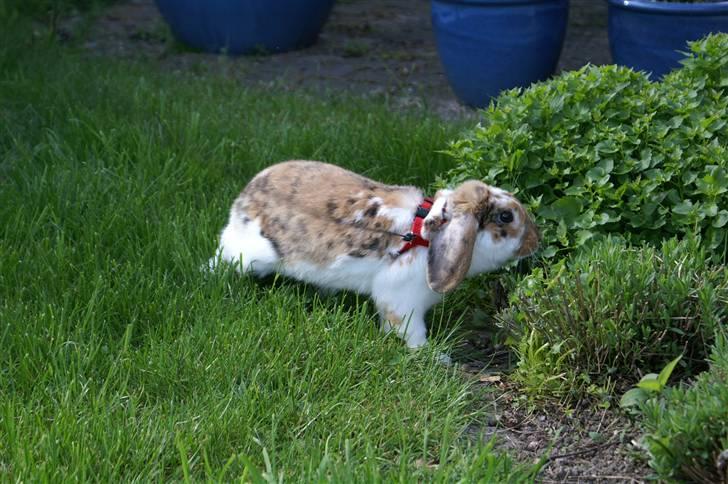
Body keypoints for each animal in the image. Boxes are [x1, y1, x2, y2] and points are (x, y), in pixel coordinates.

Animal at [210, 161, 540, 362]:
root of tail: (246, 196)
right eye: (506, 217)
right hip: (249, 255)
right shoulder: (400, 300)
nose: (535, 240)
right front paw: (435, 356)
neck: (427, 237)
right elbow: (410, 331)